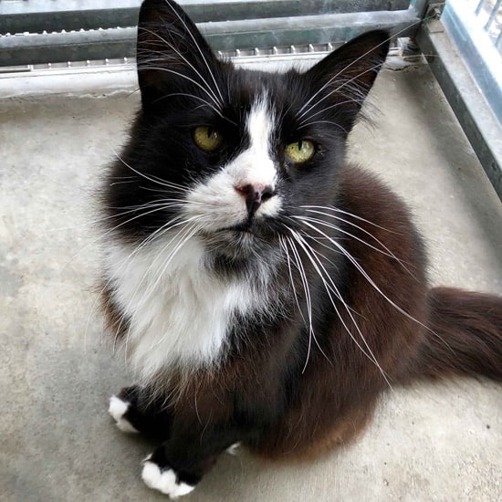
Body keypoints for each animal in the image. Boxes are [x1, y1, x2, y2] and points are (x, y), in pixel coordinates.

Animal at [101, 0, 502, 496]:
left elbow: (220, 418)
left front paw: (175, 465)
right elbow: (178, 377)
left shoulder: (269, 369)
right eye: (208, 136)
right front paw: (146, 409)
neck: (216, 268)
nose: (256, 190)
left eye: (299, 148)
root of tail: (423, 317)